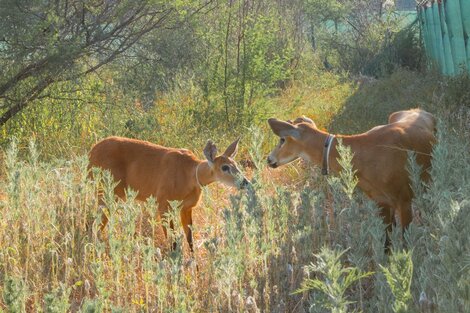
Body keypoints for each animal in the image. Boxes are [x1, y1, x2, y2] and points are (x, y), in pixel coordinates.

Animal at [88, 136, 250, 251]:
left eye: (236, 165)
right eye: (225, 167)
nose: (246, 182)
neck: (190, 175)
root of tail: (91, 153)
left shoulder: (186, 207)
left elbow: (190, 240)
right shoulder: (163, 203)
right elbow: (172, 242)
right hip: (106, 190)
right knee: (96, 224)